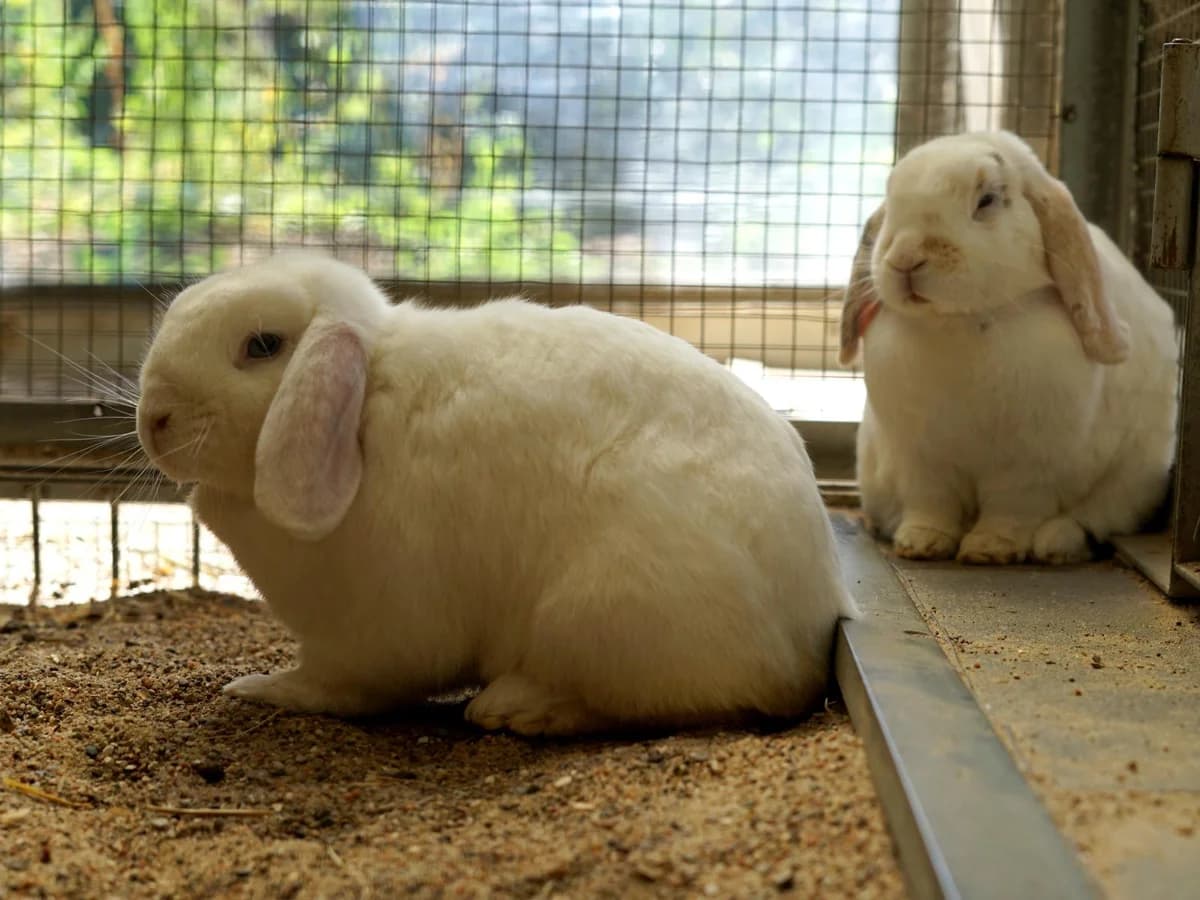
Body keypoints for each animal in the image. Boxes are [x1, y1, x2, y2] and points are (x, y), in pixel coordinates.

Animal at [135, 252, 857, 735]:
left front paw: (257, 686)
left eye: (261, 345)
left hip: (595, 615)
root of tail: (800, 648)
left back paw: (514, 707)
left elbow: (334, 686)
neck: (367, 402)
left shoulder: (364, 636)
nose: (152, 420)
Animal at [839, 130, 1179, 565]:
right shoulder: (921, 461)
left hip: (1133, 483)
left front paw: (989, 549)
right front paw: (921, 543)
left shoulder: (1030, 468)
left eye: (987, 200)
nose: (905, 259)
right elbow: (931, 505)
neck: (959, 322)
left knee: (1096, 518)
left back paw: (1056, 545)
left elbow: (1011, 510)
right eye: (892, 201)